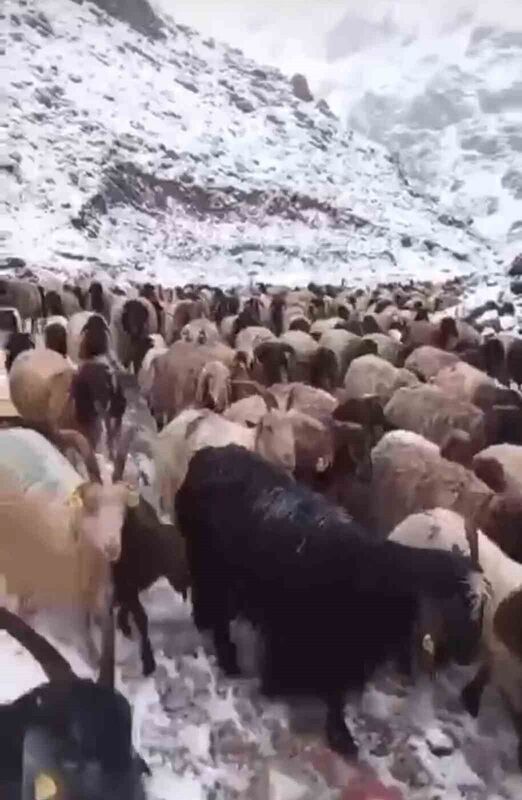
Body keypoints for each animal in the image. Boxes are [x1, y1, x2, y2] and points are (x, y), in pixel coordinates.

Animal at [176, 446, 484, 760]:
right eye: (459, 603)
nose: (470, 656)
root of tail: (209, 454)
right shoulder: (301, 636)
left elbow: (335, 694)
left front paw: (340, 735)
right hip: (211, 567)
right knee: (216, 613)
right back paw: (228, 659)